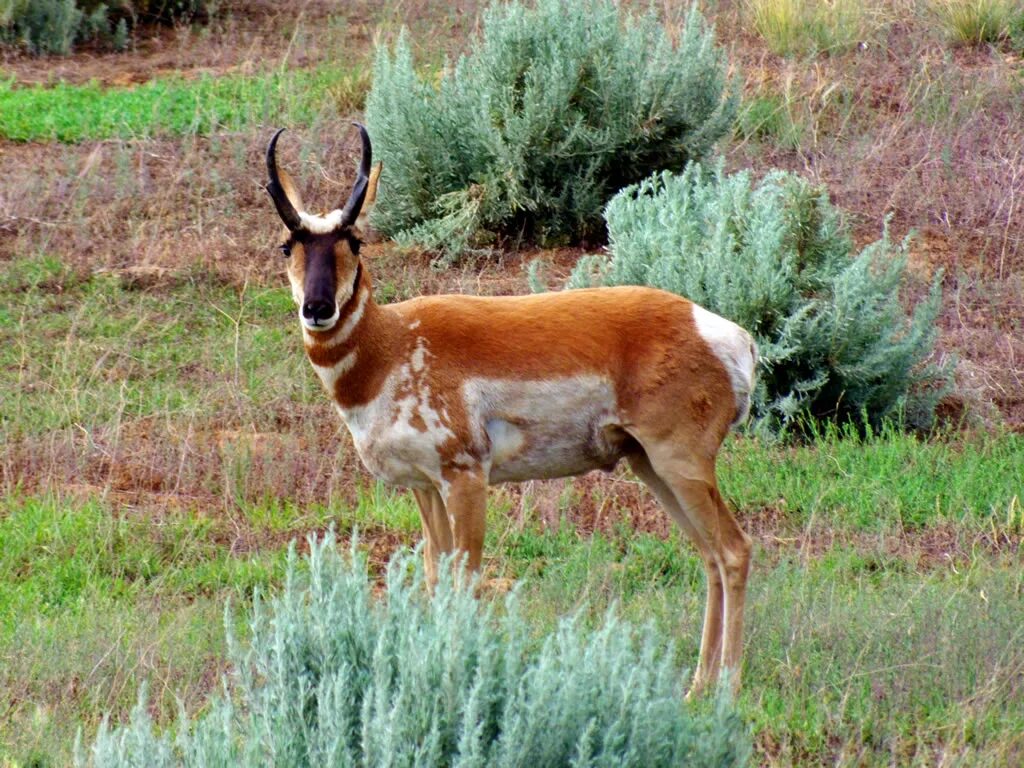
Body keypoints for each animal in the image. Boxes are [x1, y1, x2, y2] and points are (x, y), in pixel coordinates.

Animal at [264, 126, 761, 696]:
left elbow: (466, 578)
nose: (318, 308)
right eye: (288, 243)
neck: (391, 346)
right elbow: (436, 575)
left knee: (734, 550)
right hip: (651, 466)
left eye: (355, 240)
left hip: (681, 464)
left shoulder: (466, 477)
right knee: (709, 555)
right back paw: (697, 687)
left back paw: (727, 688)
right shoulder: (424, 488)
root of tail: (730, 336)